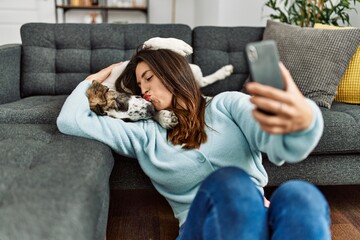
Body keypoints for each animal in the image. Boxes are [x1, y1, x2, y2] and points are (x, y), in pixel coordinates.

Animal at [87, 36, 233, 128]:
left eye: (120, 104)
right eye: (127, 120)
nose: (150, 111)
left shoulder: (123, 69)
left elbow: (147, 43)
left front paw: (177, 45)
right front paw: (163, 117)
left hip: (194, 69)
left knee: (202, 81)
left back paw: (224, 71)